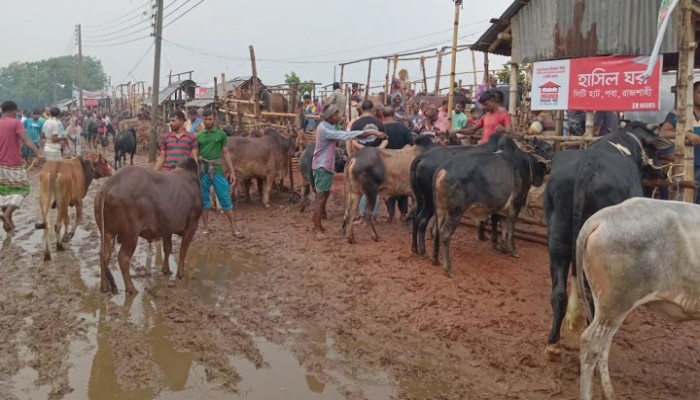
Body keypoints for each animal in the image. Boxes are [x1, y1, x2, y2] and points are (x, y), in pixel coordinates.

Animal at [93, 156, 202, 294]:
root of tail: (110, 182)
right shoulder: (192, 224)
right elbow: (183, 251)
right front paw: (180, 274)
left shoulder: (167, 228)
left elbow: (168, 248)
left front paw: (166, 270)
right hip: (131, 234)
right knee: (123, 258)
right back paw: (131, 289)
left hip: (107, 232)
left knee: (104, 255)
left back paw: (104, 287)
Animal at [432, 136, 552, 276]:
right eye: (547, 148)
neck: (525, 164)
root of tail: (442, 170)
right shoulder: (515, 206)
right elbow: (510, 230)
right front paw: (513, 251)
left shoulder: (502, 210)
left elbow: (504, 230)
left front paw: (503, 248)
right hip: (455, 212)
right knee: (445, 234)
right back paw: (448, 268)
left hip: (440, 210)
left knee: (436, 231)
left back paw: (435, 260)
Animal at [540, 122, 672, 360]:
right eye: (656, 150)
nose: (662, 170)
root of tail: (587, 165)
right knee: (595, 298)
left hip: (557, 240)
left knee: (559, 293)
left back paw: (553, 344)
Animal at [576, 198, 700, 400]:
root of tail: (601, 217)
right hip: (616, 304)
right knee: (590, 344)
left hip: (605, 306)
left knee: (604, 345)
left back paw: (609, 392)